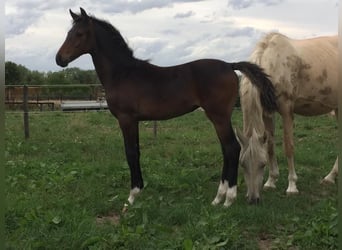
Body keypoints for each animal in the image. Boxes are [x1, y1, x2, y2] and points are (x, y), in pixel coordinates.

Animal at [54, 7, 276, 207]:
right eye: (68, 33)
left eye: (79, 34)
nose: (59, 59)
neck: (123, 73)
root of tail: (230, 65)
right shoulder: (134, 121)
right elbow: (136, 151)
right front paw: (139, 190)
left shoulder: (126, 119)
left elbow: (130, 153)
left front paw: (132, 196)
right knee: (226, 149)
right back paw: (218, 198)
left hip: (219, 116)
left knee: (232, 148)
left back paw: (228, 199)